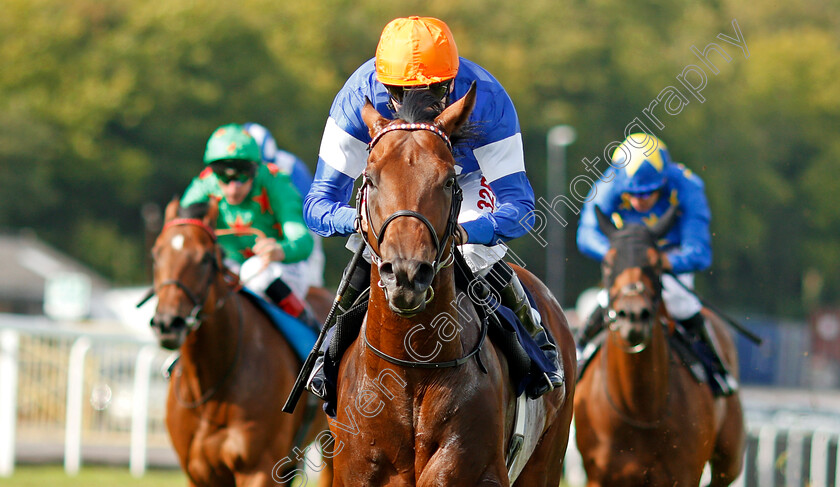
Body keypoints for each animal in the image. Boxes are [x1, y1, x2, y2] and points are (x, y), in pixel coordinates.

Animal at [576, 208, 744, 486]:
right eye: (607, 263)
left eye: (656, 264)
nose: (633, 315)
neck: (639, 408)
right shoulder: (600, 474)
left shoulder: (684, 473)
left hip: (729, 460)